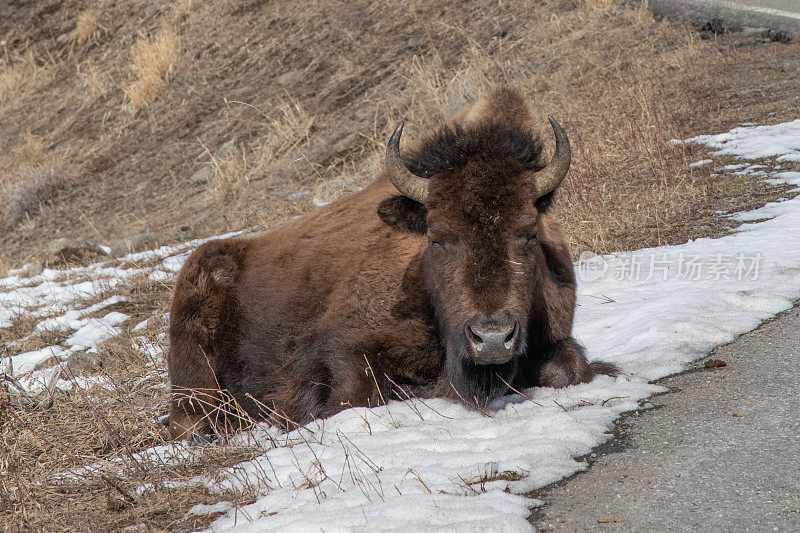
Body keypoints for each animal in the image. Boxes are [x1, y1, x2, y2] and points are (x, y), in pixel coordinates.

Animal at [169, 85, 616, 438]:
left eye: (529, 232)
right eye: (436, 237)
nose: (491, 338)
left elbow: (569, 369)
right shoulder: (338, 347)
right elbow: (348, 396)